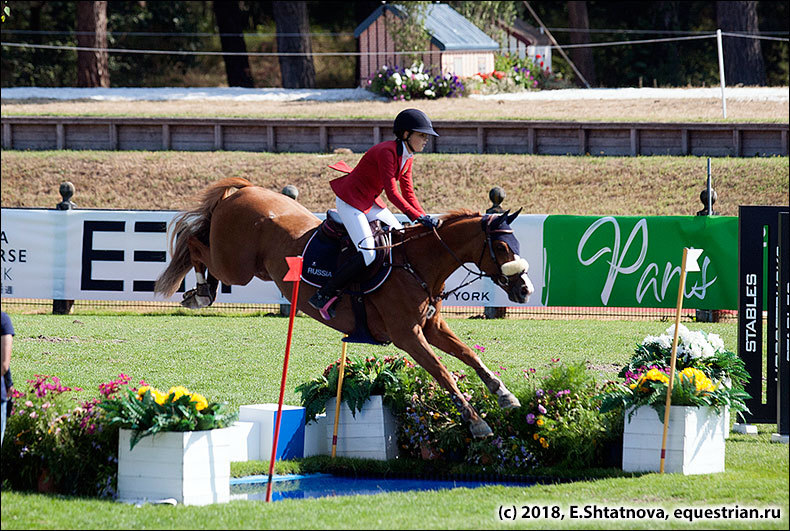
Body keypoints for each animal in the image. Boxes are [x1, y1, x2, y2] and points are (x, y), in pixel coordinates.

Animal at [153, 178, 540, 436]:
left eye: (518, 244)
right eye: (502, 248)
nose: (525, 290)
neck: (416, 264)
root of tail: (245, 190)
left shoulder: (432, 327)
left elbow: (469, 355)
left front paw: (504, 395)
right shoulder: (408, 335)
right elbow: (443, 372)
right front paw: (476, 423)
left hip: (252, 267)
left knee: (199, 243)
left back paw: (202, 290)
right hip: (237, 266)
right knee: (194, 242)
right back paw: (200, 292)